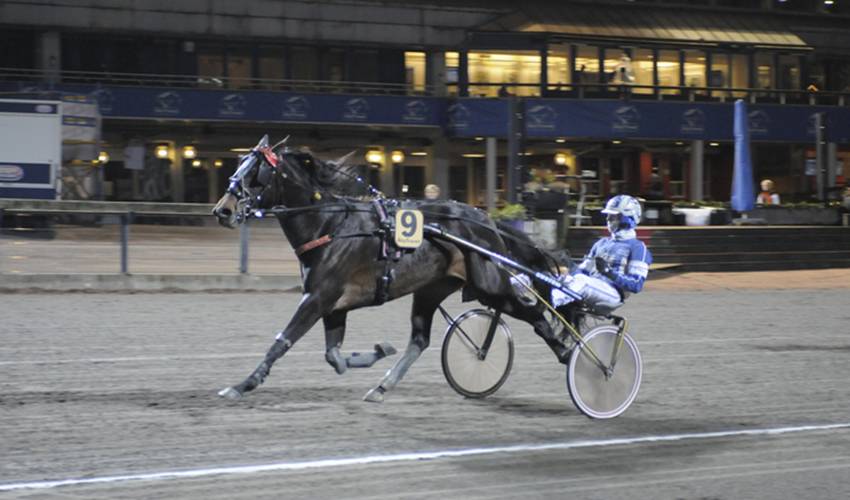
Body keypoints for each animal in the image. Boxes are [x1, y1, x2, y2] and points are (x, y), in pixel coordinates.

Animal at [212, 136, 568, 402]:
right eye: (238, 165)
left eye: (255, 172)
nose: (222, 210)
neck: (328, 225)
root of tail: (487, 221)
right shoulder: (333, 305)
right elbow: (334, 356)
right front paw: (378, 350)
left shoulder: (317, 298)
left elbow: (282, 341)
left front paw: (241, 386)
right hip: (431, 289)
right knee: (420, 340)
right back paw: (382, 386)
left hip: (491, 287)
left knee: (537, 315)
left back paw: (571, 356)